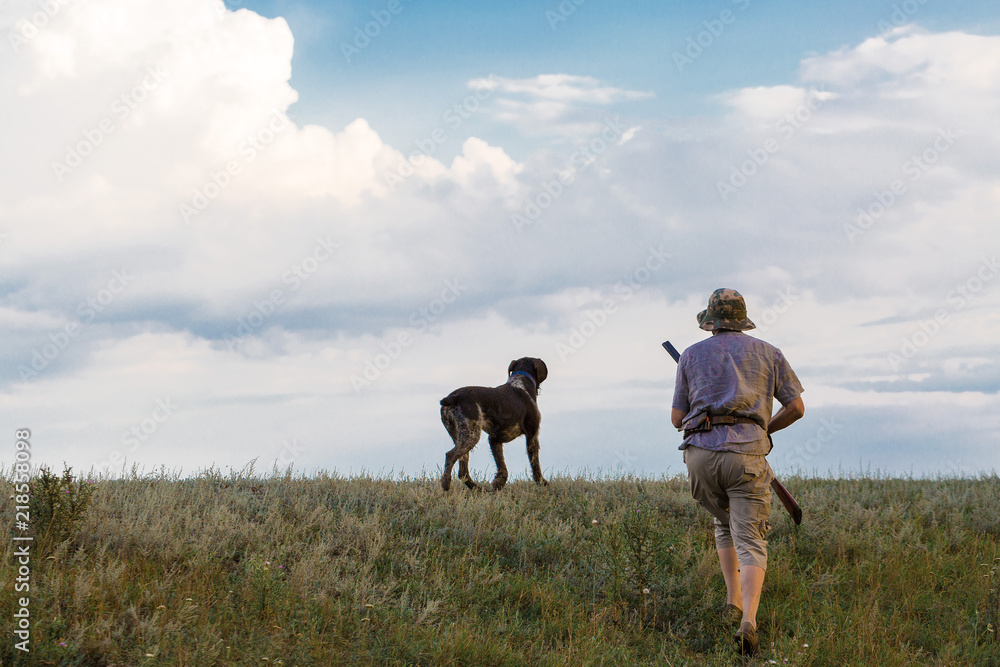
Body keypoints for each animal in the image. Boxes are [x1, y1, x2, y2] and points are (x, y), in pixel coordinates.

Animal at [438, 358, 548, 494]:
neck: (521, 382)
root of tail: (452, 397)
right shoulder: (532, 435)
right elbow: (535, 464)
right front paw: (542, 482)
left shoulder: (494, 438)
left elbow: (501, 466)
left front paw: (498, 484)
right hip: (471, 435)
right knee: (450, 456)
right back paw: (446, 484)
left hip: (460, 435)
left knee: (462, 470)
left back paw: (478, 489)